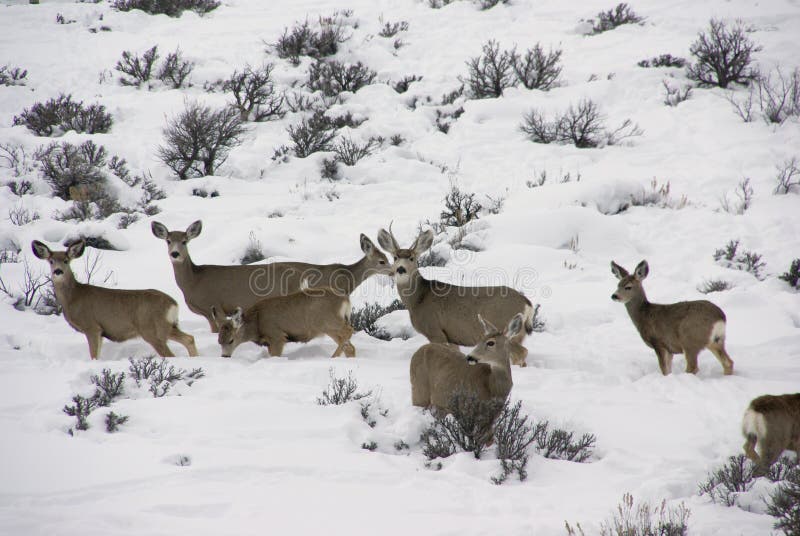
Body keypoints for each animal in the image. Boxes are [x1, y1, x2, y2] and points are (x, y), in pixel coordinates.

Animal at [31, 240, 197, 359]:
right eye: (51, 261)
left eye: (66, 260)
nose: (58, 271)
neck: (73, 297)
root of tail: (173, 304)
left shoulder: (92, 327)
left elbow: (94, 356)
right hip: (169, 326)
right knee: (189, 338)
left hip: (152, 330)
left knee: (171, 354)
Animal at [209, 289, 355, 358]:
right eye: (219, 341)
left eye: (231, 340)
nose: (225, 356)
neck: (257, 323)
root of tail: (345, 300)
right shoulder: (269, 342)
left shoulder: (277, 336)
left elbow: (276, 355)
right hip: (329, 326)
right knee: (350, 346)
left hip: (327, 322)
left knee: (349, 330)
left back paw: (333, 357)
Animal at [377, 226, 534, 366]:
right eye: (395, 257)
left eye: (411, 258)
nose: (400, 269)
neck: (418, 300)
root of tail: (527, 303)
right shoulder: (452, 337)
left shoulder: (434, 330)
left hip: (505, 328)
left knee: (521, 352)